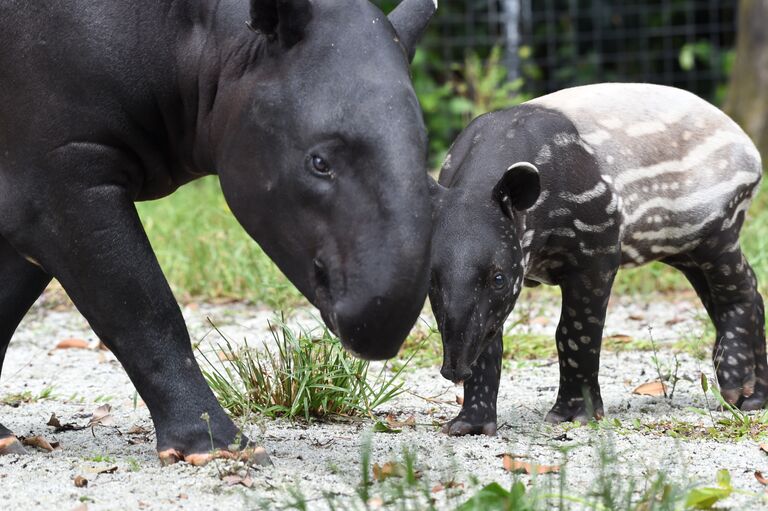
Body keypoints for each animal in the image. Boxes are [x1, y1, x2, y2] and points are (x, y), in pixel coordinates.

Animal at [428, 84, 764, 436]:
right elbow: (488, 338)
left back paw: (735, 387)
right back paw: (754, 399)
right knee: (745, 293)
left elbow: (574, 333)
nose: (453, 370)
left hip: (718, 220)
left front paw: (573, 415)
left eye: (498, 279)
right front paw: (470, 425)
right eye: (430, 280)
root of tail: (749, 147)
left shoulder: (595, 250)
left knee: (737, 290)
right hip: (682, 243)